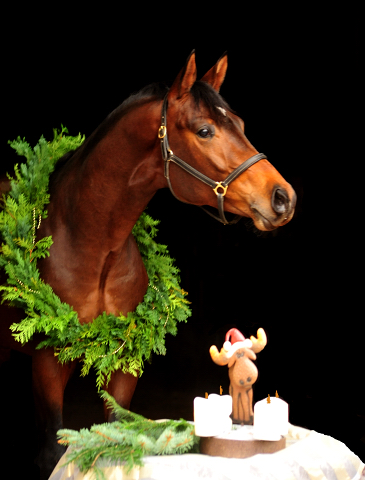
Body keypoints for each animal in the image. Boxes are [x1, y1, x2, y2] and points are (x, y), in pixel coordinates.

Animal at [0, 50, 296, 478]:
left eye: (240, 124)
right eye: (205, 130)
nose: (283, 198)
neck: (88, 242)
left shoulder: (124, 360)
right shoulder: (47, 362)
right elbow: (53, 453)